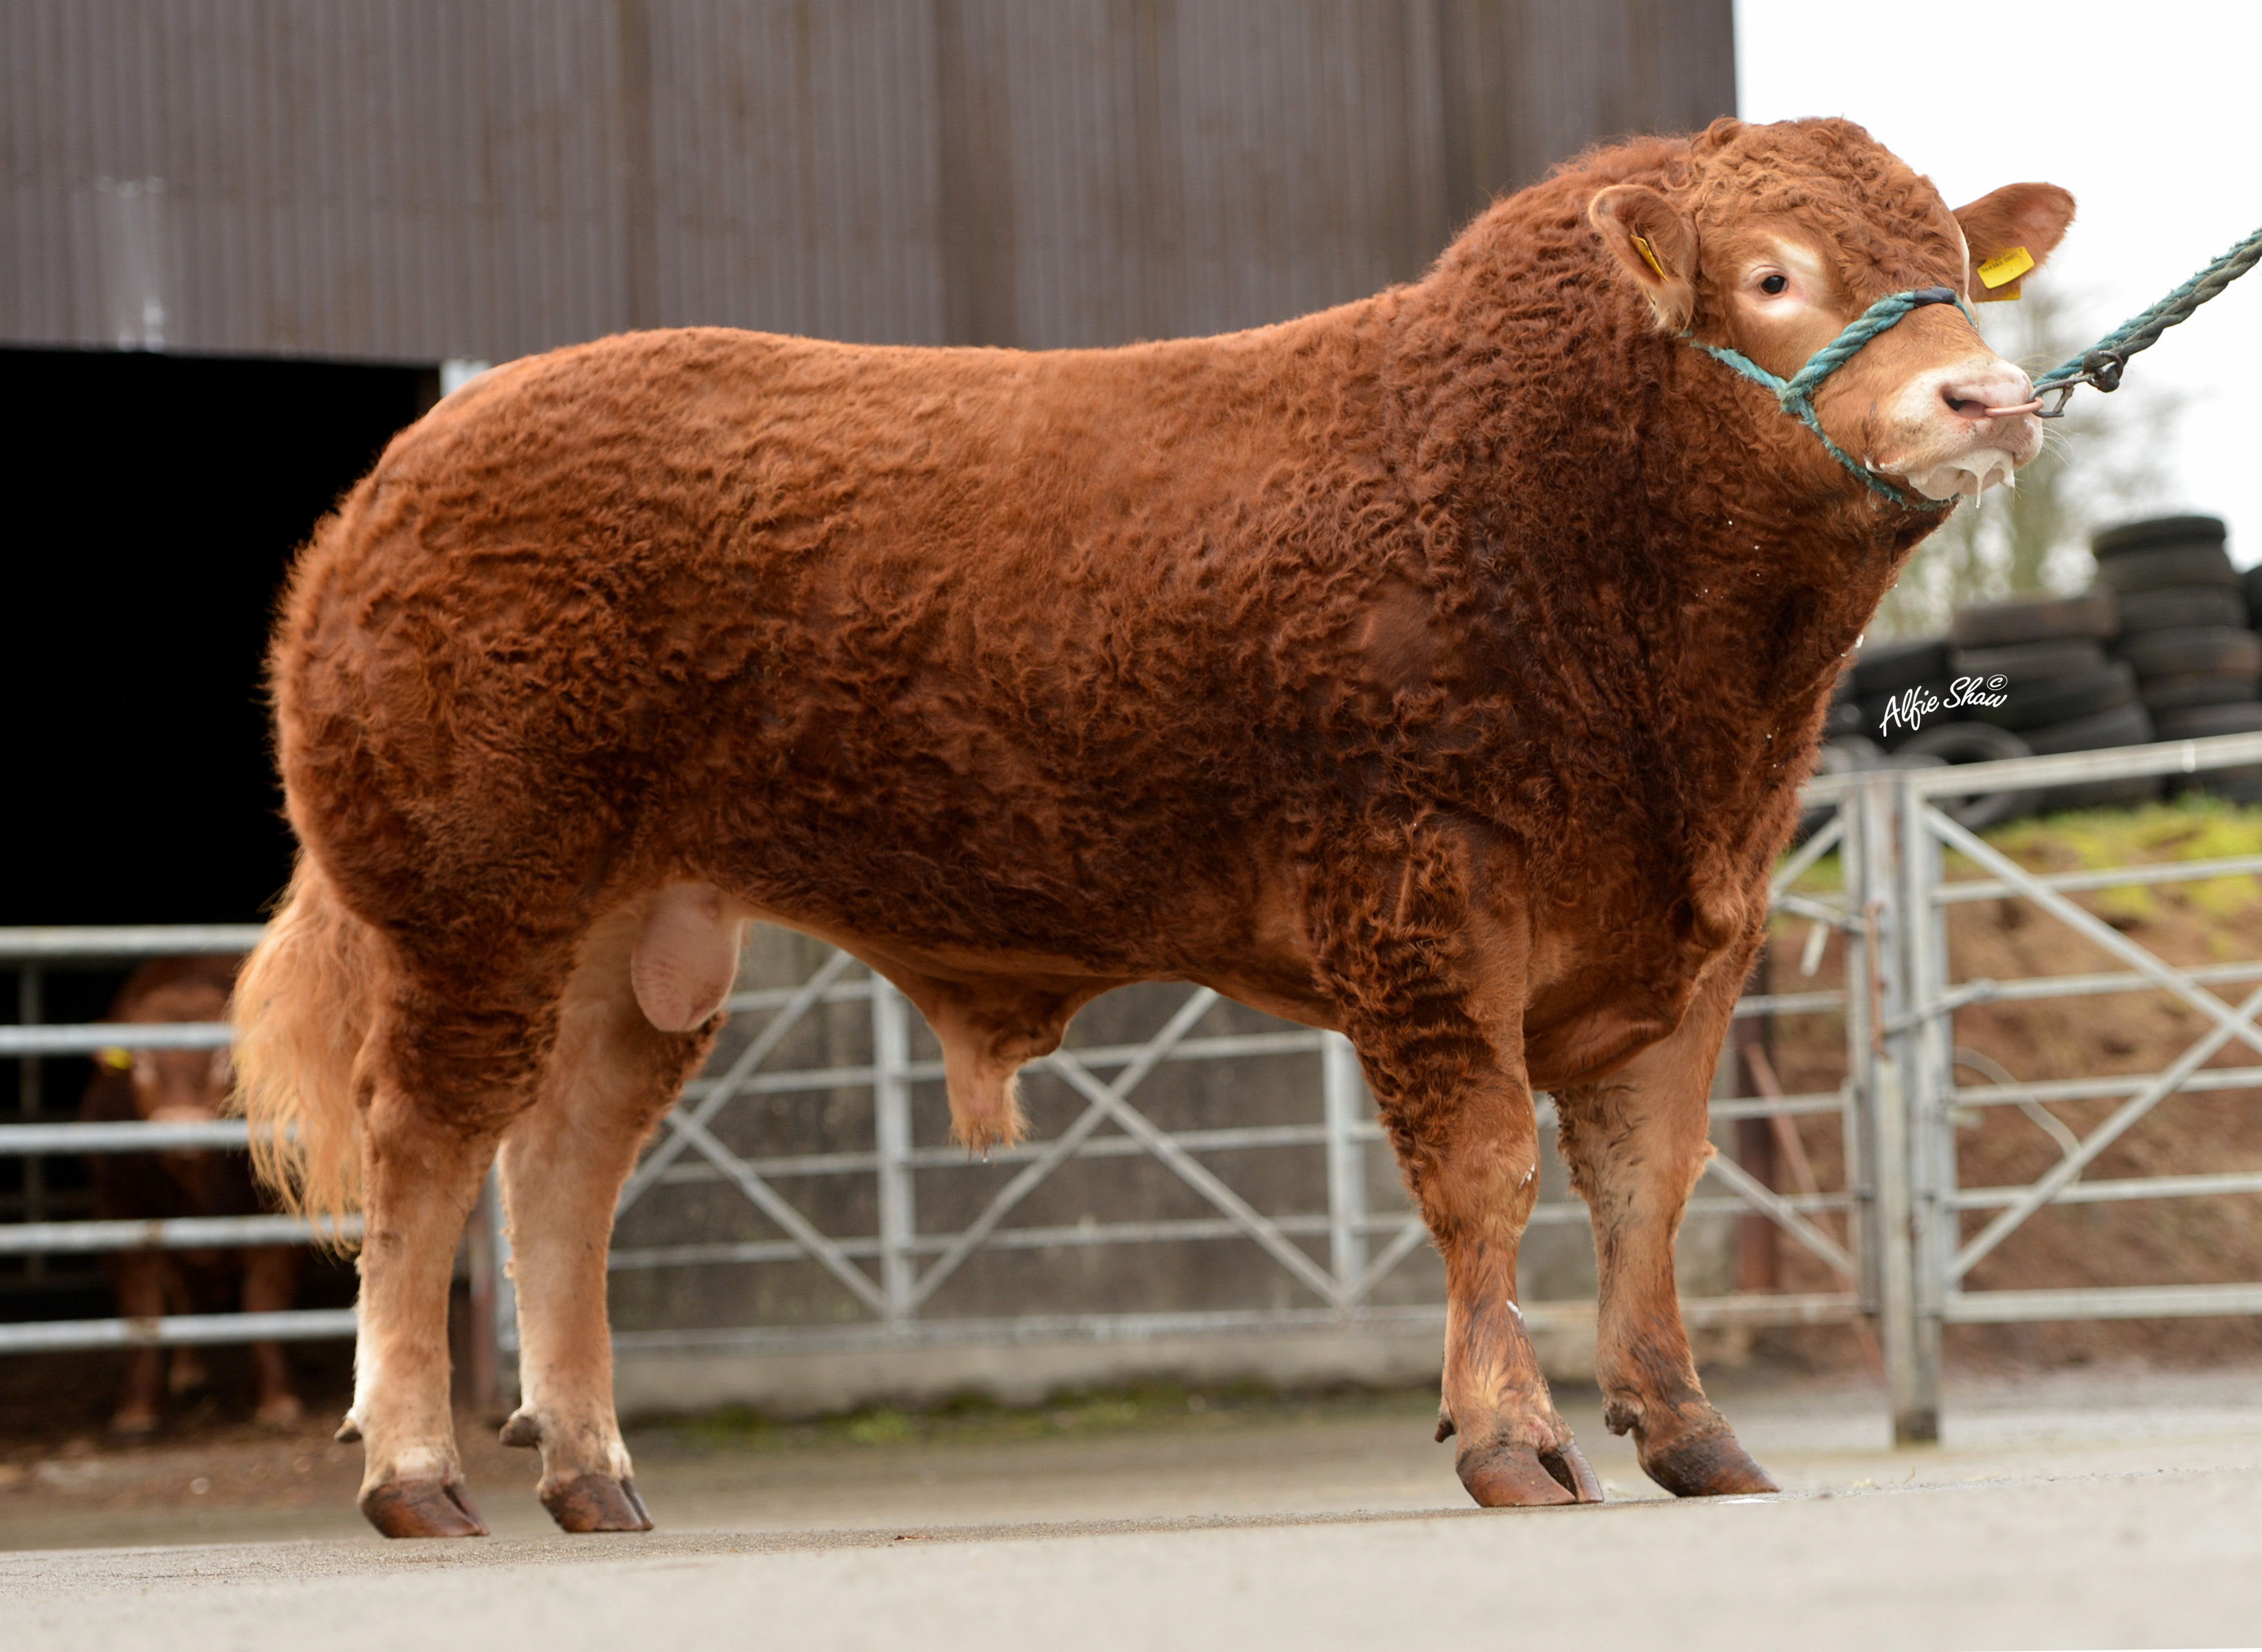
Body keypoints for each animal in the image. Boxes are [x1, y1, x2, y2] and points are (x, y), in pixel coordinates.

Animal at [82, 955, 302, 1434]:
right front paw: (138, 1410)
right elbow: (143, 1308)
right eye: (141, 1062)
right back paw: (188, 1369)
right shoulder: (124, 1215)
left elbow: (267, 1304)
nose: (180, 1125)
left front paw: (278, 1401)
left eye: (223, 1059)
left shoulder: (274, 1219)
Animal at [232, 116, 2073, 1537]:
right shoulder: (1421, 897)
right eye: (1772, 276)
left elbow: (1649, 1187)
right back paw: (417, 1473)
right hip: (474, 898)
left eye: (1947, 260)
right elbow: (1484, 1175)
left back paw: (593, 1472)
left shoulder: (1691, 926)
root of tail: (407, 468)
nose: (1991, 398)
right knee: (424, 1155)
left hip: (638, 936)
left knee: (562, 1170)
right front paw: (1514, 1437)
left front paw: (1691, 1434)